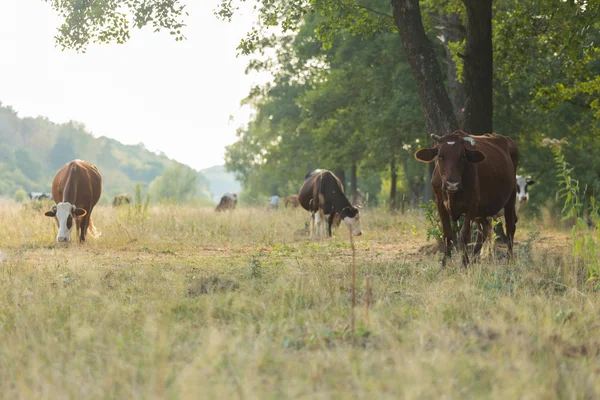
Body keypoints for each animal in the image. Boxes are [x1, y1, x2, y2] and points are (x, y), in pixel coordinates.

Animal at [414, 131, 516, 266]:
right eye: (440, 156)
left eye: (462, 156)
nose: (452, 184)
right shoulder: (440, 203)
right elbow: (447, 233)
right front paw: (445, 263)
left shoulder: (472, 204)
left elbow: (464, 234)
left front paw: (464, 263)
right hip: (482, 211)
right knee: (484, 229)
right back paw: (475, 258)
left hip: (511, 197)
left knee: (510, 227)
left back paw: (509, 259)